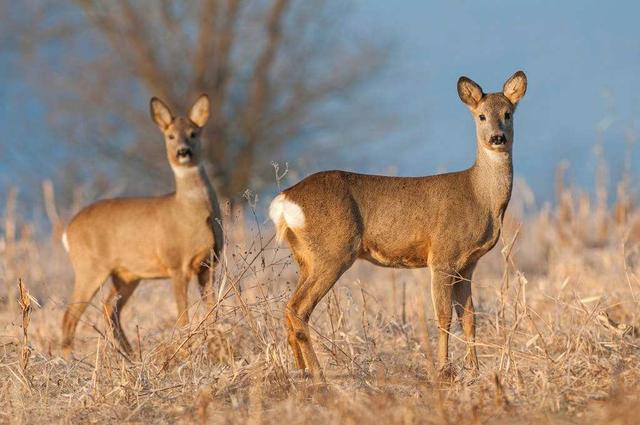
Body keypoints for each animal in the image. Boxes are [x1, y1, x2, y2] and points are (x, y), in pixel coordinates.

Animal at [62, 94, 222, 356]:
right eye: (170, 136)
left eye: (194, 133)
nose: (183, 152)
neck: (191, 215)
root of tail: (68, 230)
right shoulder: (176, 264)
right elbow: (183, 317)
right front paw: (187, 349)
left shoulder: (208, 264)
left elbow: (212, 312)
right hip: (89, 267)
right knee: (69, 316)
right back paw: (69, 360)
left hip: (126, 275)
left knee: (109, 308)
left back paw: (130, 355)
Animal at [268, 69, 528, 380]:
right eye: (481, 116)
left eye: (508, 113)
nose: (498, 138)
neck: (480, 196)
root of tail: (285, 200)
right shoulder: (443, 255)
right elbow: (443, 317)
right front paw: (443, 370)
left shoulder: (468, 264)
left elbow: (470, 318)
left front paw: (474, 370)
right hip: (332, 251)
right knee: (297, 308)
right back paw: (318, 373)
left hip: (305, 257)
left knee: (288, 308)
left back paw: (301, 369)